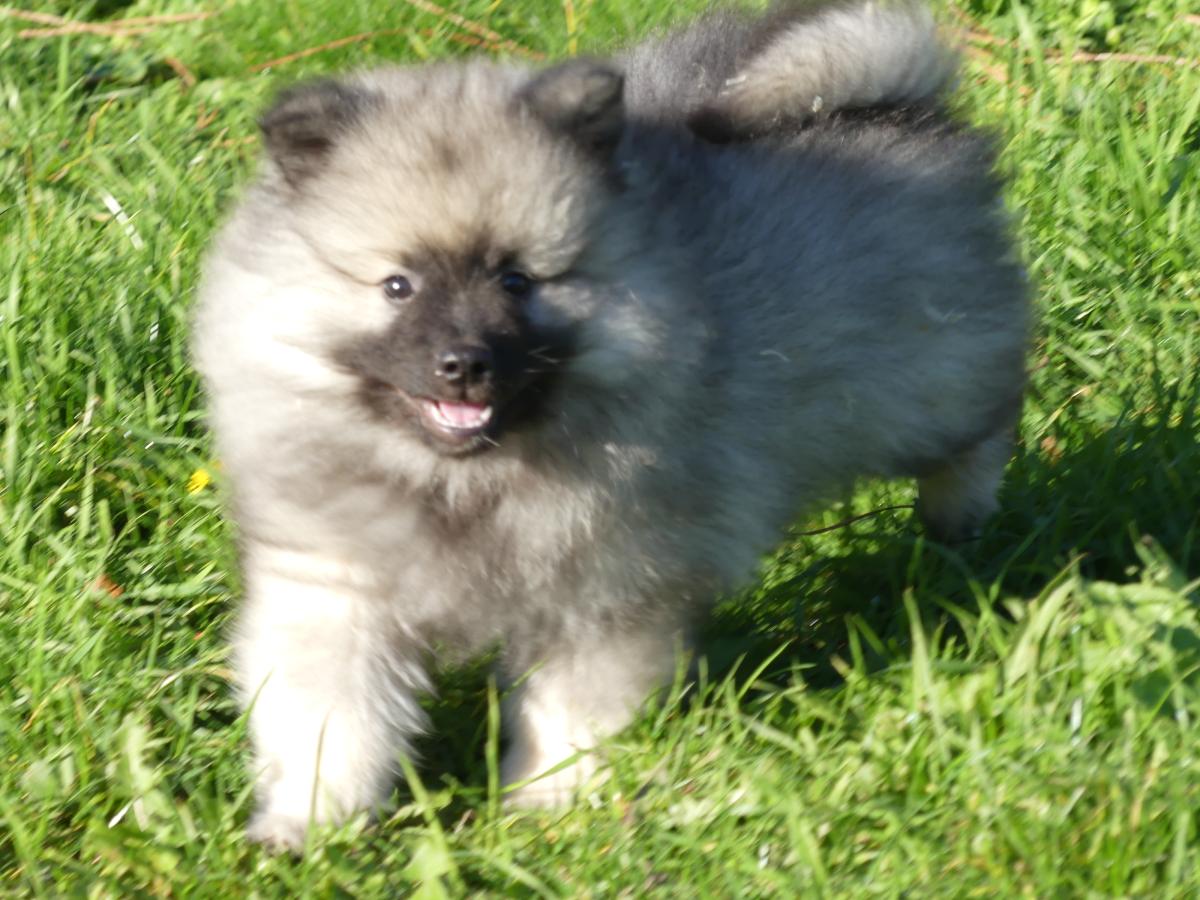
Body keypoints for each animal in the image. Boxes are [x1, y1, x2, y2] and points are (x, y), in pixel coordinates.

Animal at [193, 0, 1029, 848]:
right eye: (399, 285)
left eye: (516, 280)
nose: (463, 364)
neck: (465, 482)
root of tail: (910, 104)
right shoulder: (335, 590)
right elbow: (330, 719)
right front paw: (311, 823)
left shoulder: (602, 592)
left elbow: (565, 714)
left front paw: (545, 804)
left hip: (928, 389)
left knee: (986, 423)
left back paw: (961, 519)